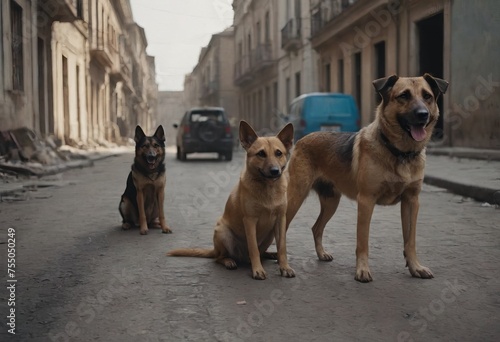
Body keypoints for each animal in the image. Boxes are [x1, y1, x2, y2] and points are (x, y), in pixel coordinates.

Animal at [168, 121, 294, 280]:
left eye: (278, 153)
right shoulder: (250, 221)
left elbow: (282, 247)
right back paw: (229, 261)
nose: (275, 171)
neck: (268, 189)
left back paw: (269, 254)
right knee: (219, 258)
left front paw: (284, 267)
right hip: (223, 232)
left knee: (261, 252)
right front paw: (257, 270)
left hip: (270, 234)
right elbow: (253, 248)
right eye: (261, 154)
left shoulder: (281, 219)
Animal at [282, 73, 450, 282]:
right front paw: (362, 270)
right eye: (404, 95)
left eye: (427, 96)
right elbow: (363, 241)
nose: (422, 115)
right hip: (296, 197)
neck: (399, 153)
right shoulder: (366, 201)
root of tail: (302, 140)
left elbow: (410, 241)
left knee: (316, 227)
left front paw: (415, 267)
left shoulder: (411, 201)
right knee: (281, 228)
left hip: (331, 202)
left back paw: (321, 254)